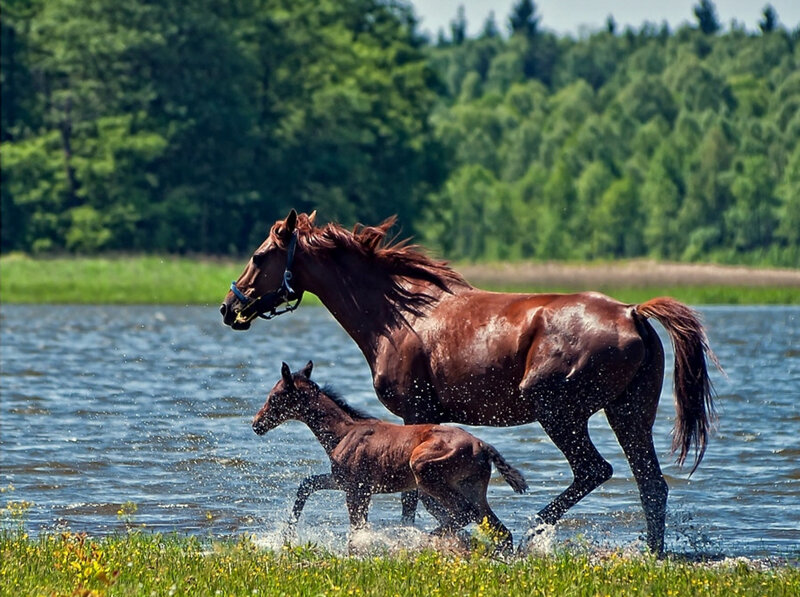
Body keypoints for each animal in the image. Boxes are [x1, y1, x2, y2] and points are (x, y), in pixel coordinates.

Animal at [252, 361, 528, 553]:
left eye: (275, 396)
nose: (256, 424)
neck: (343, 433)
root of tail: (482, 445)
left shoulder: (358, 489)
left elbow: (357, 527)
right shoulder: (342, 482)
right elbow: (307, 485)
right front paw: (286, 535)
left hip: (426, 474)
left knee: (464, 512)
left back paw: (421, 539)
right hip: (473, 488)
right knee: (499, 530)